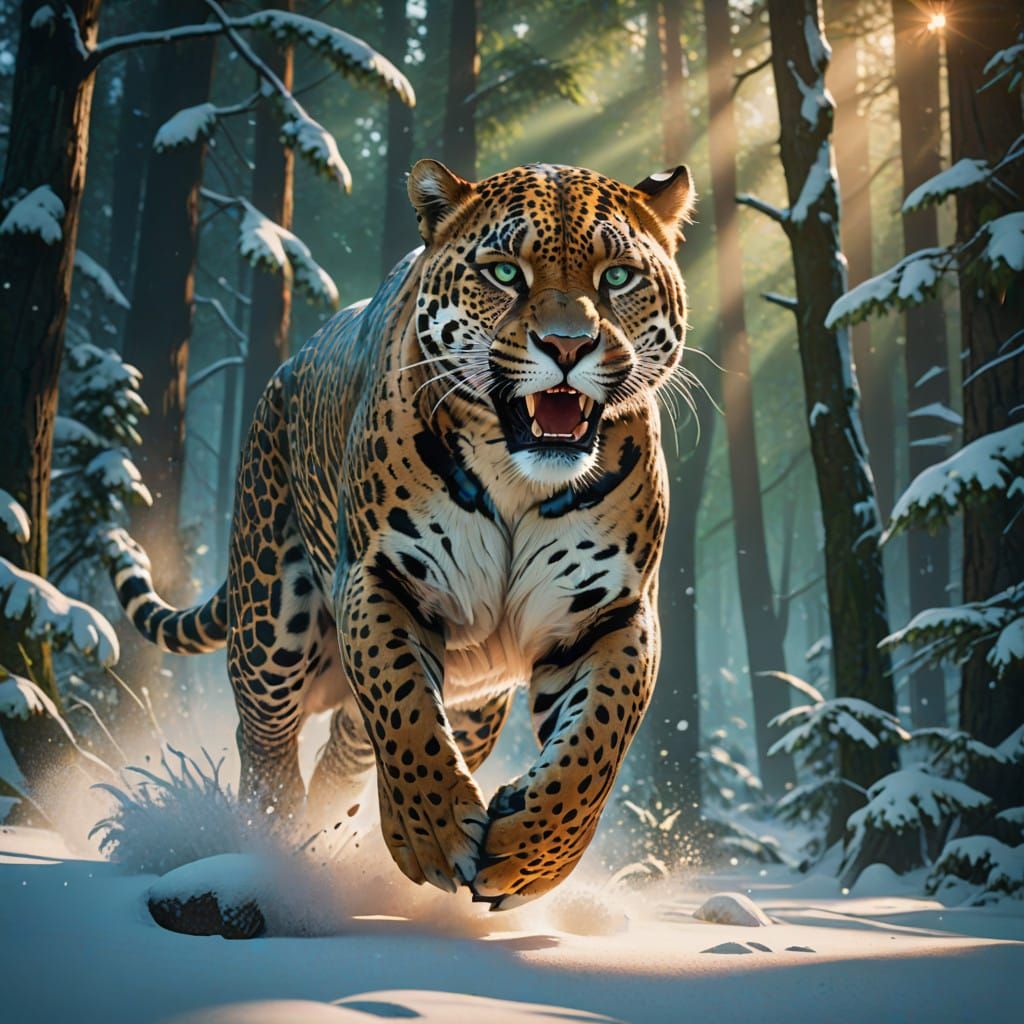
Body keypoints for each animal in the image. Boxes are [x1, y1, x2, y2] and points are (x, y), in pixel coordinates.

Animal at [105, 160, 696, 910]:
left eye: (617, 276)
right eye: (505, 272)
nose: (568, 345)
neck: (517, 475)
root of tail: (283, 370)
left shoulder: (610, 614)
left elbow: (596, 742)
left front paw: (529, 857)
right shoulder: (383, 579)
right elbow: (405, 709)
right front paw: (433, 833)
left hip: (475, 703)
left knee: (345, 749)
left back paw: (330, 834)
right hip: (272, 617)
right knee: (265, 734)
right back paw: (267, 838)